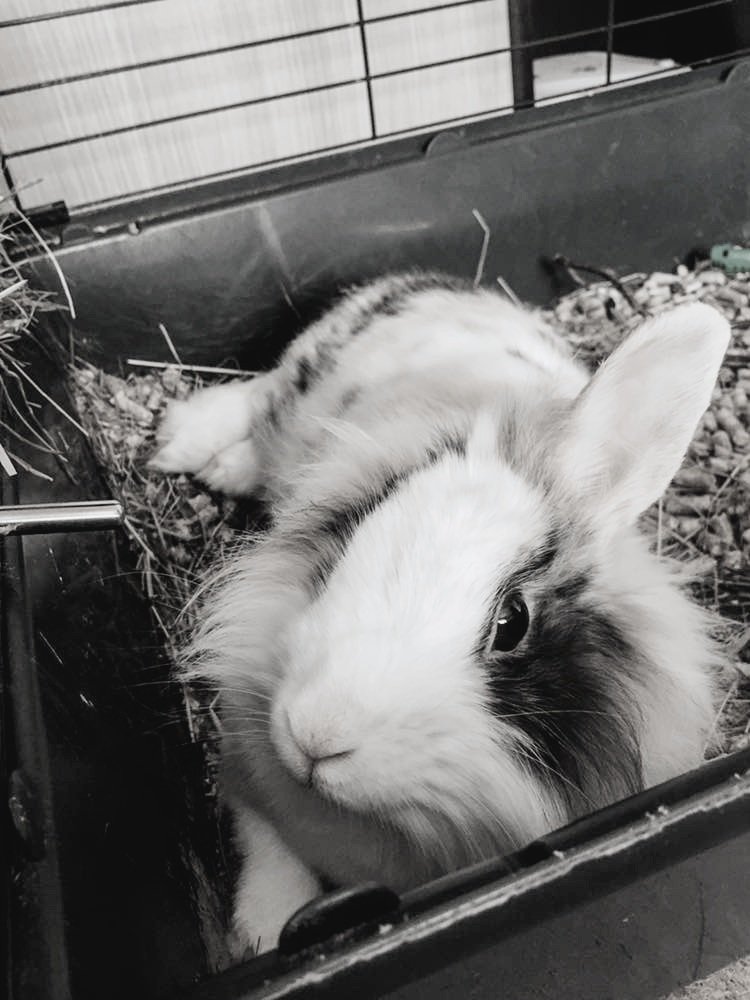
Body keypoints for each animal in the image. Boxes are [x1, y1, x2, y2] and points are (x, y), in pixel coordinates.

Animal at [150, 272, 730, 956]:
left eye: (512, 622)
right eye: (357, 532)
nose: (315, 736)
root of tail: (434, 284)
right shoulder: (247, 770)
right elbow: (269, 849)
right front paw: (264, 933)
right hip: (300, 382)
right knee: (257, 399)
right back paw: (185, 444)